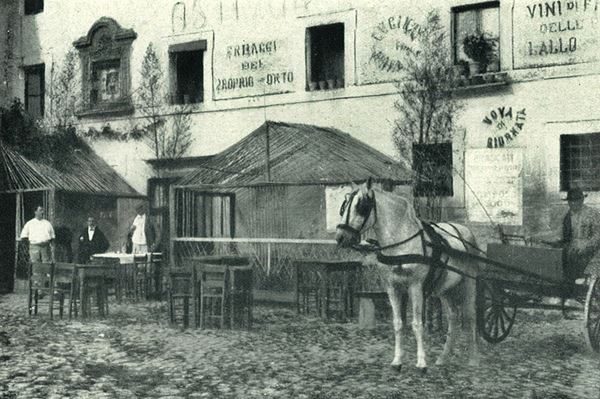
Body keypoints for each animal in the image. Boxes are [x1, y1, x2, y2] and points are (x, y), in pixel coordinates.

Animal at [336, 180, 480, 374]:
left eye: (362, 206)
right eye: (344, 206)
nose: (340, 237)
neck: (401, 243)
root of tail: (465, 230)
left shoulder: (415, 287)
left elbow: (417, 324)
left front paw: (421, 363)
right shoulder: (393, 288)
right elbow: (398, 323)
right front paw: (397, 361)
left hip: (469, 283)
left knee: (470, 316)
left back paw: (473, 359)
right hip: (445, 289)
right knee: (453, 317)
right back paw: (443, 357)